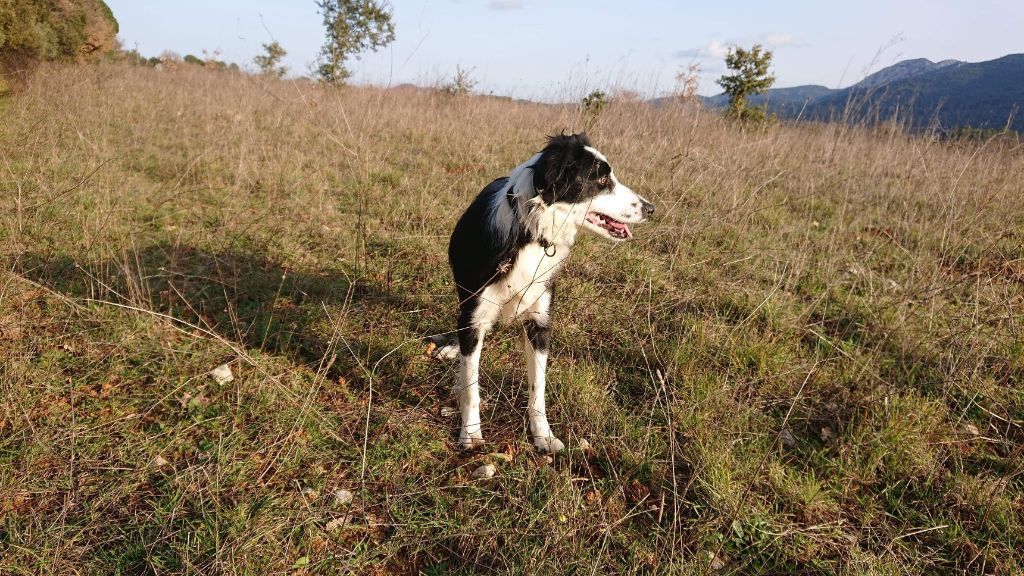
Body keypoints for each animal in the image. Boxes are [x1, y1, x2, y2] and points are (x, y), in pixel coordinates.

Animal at [442, 132, 651, 450]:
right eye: (602, 180)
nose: (650, 209)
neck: (529, 233)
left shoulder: (540, 321)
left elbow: (537, 388)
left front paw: (543, 436)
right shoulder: (475, 313)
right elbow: (470, 386)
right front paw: (471, 433)